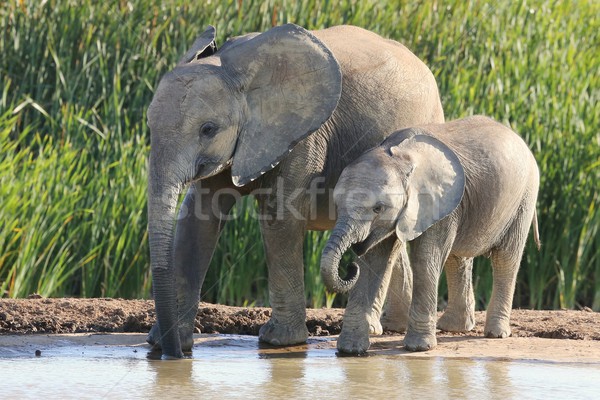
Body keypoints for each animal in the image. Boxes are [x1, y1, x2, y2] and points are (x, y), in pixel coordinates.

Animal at [145, 23, 446, 358]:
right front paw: (166, 342)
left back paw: (373, 327)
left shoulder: (302, 136)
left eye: (208, 129)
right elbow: (198, 220)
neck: (232, 69)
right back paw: (387, 326)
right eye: (148, 125)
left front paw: (279, 340)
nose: (172, 355)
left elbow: (279, 220)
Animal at [322, 115, 540, 354]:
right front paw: (350, 351)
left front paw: (419, 348)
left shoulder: (438, 203)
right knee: (458, 257)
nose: (350, 266)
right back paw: (453, 327)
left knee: (505, 258)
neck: (400, 155)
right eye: (336, 204)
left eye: (378, 208)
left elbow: (425, 259)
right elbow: (375, 260)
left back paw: (495, 334)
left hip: (524, 197)